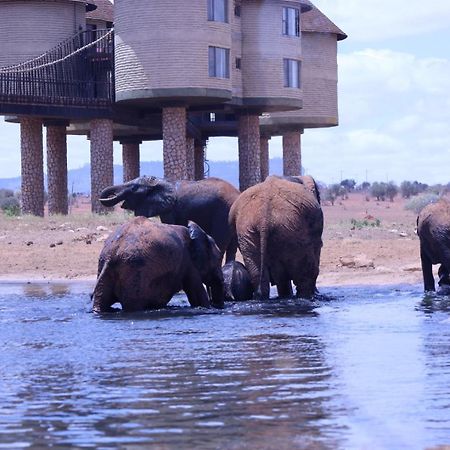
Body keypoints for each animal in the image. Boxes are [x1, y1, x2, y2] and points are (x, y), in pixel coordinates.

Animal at [92, 218, 225, 312]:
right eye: (219, 258)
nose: (217, 305)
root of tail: (112, 254)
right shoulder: (188, 263)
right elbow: (197, 296)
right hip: (135, 272)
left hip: (105, 268)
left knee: (100, 304)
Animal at [98, 175, 239, 262]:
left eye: (133, 188)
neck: (159, 181)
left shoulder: (170, 209)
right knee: (232, 248)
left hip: (222, 213)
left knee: (220, 244)